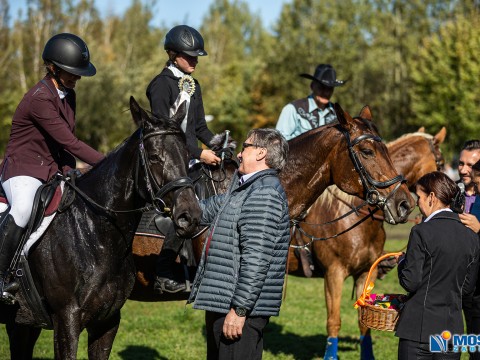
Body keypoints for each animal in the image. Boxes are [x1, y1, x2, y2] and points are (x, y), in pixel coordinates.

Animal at [0, 97, 201, 358]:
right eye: (155, 157)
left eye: (187, 155)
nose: (191, 217)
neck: (95, 234)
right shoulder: (67, 321)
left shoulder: (107, 322)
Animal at [288, 127, 450, 360]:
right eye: (441, 162)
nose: (405, 205)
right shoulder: (334, 274)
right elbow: (334, 321)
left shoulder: (365, 274)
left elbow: (363, 324)